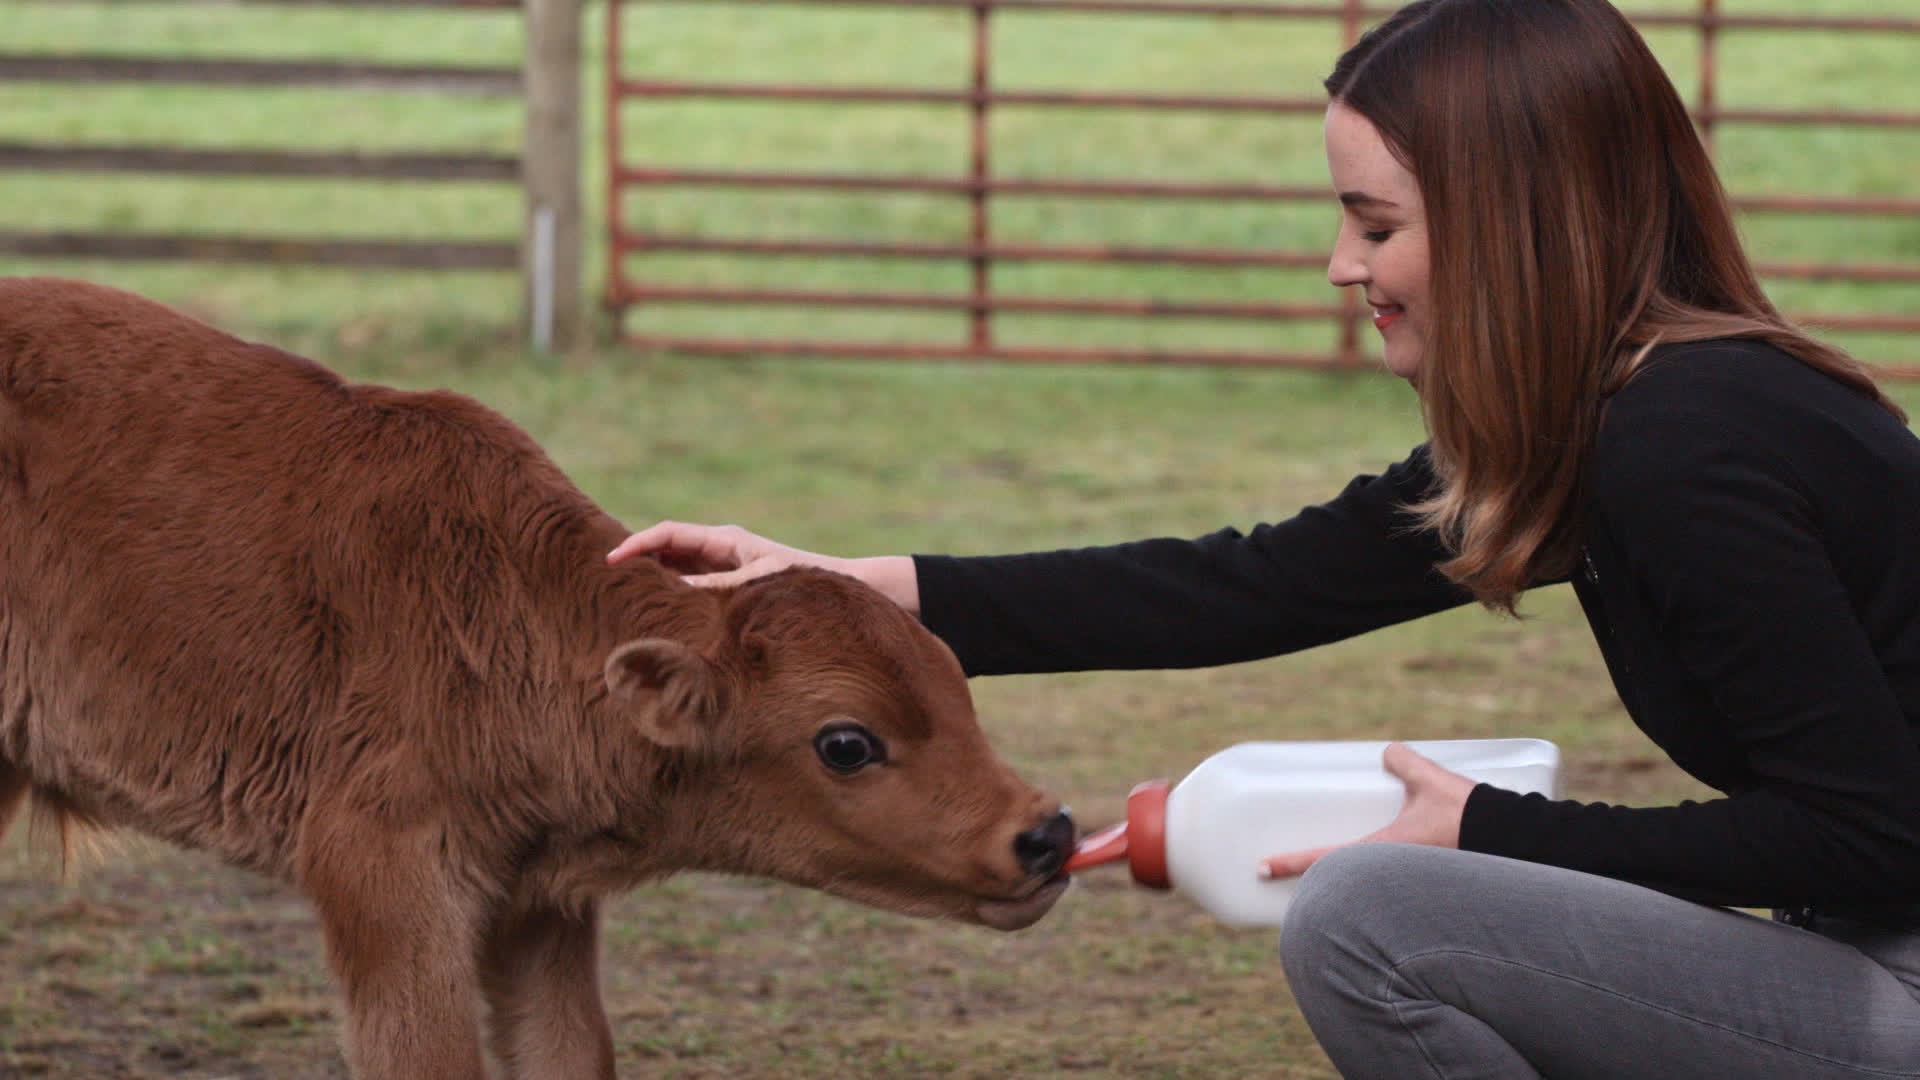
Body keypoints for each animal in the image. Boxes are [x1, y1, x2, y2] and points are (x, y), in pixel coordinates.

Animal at [0, 278, 1082, 1076]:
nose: (1045, 832)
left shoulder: (537, 907)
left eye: (959, 687)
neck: (503, 608)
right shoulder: (381, 876)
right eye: (846, 742)